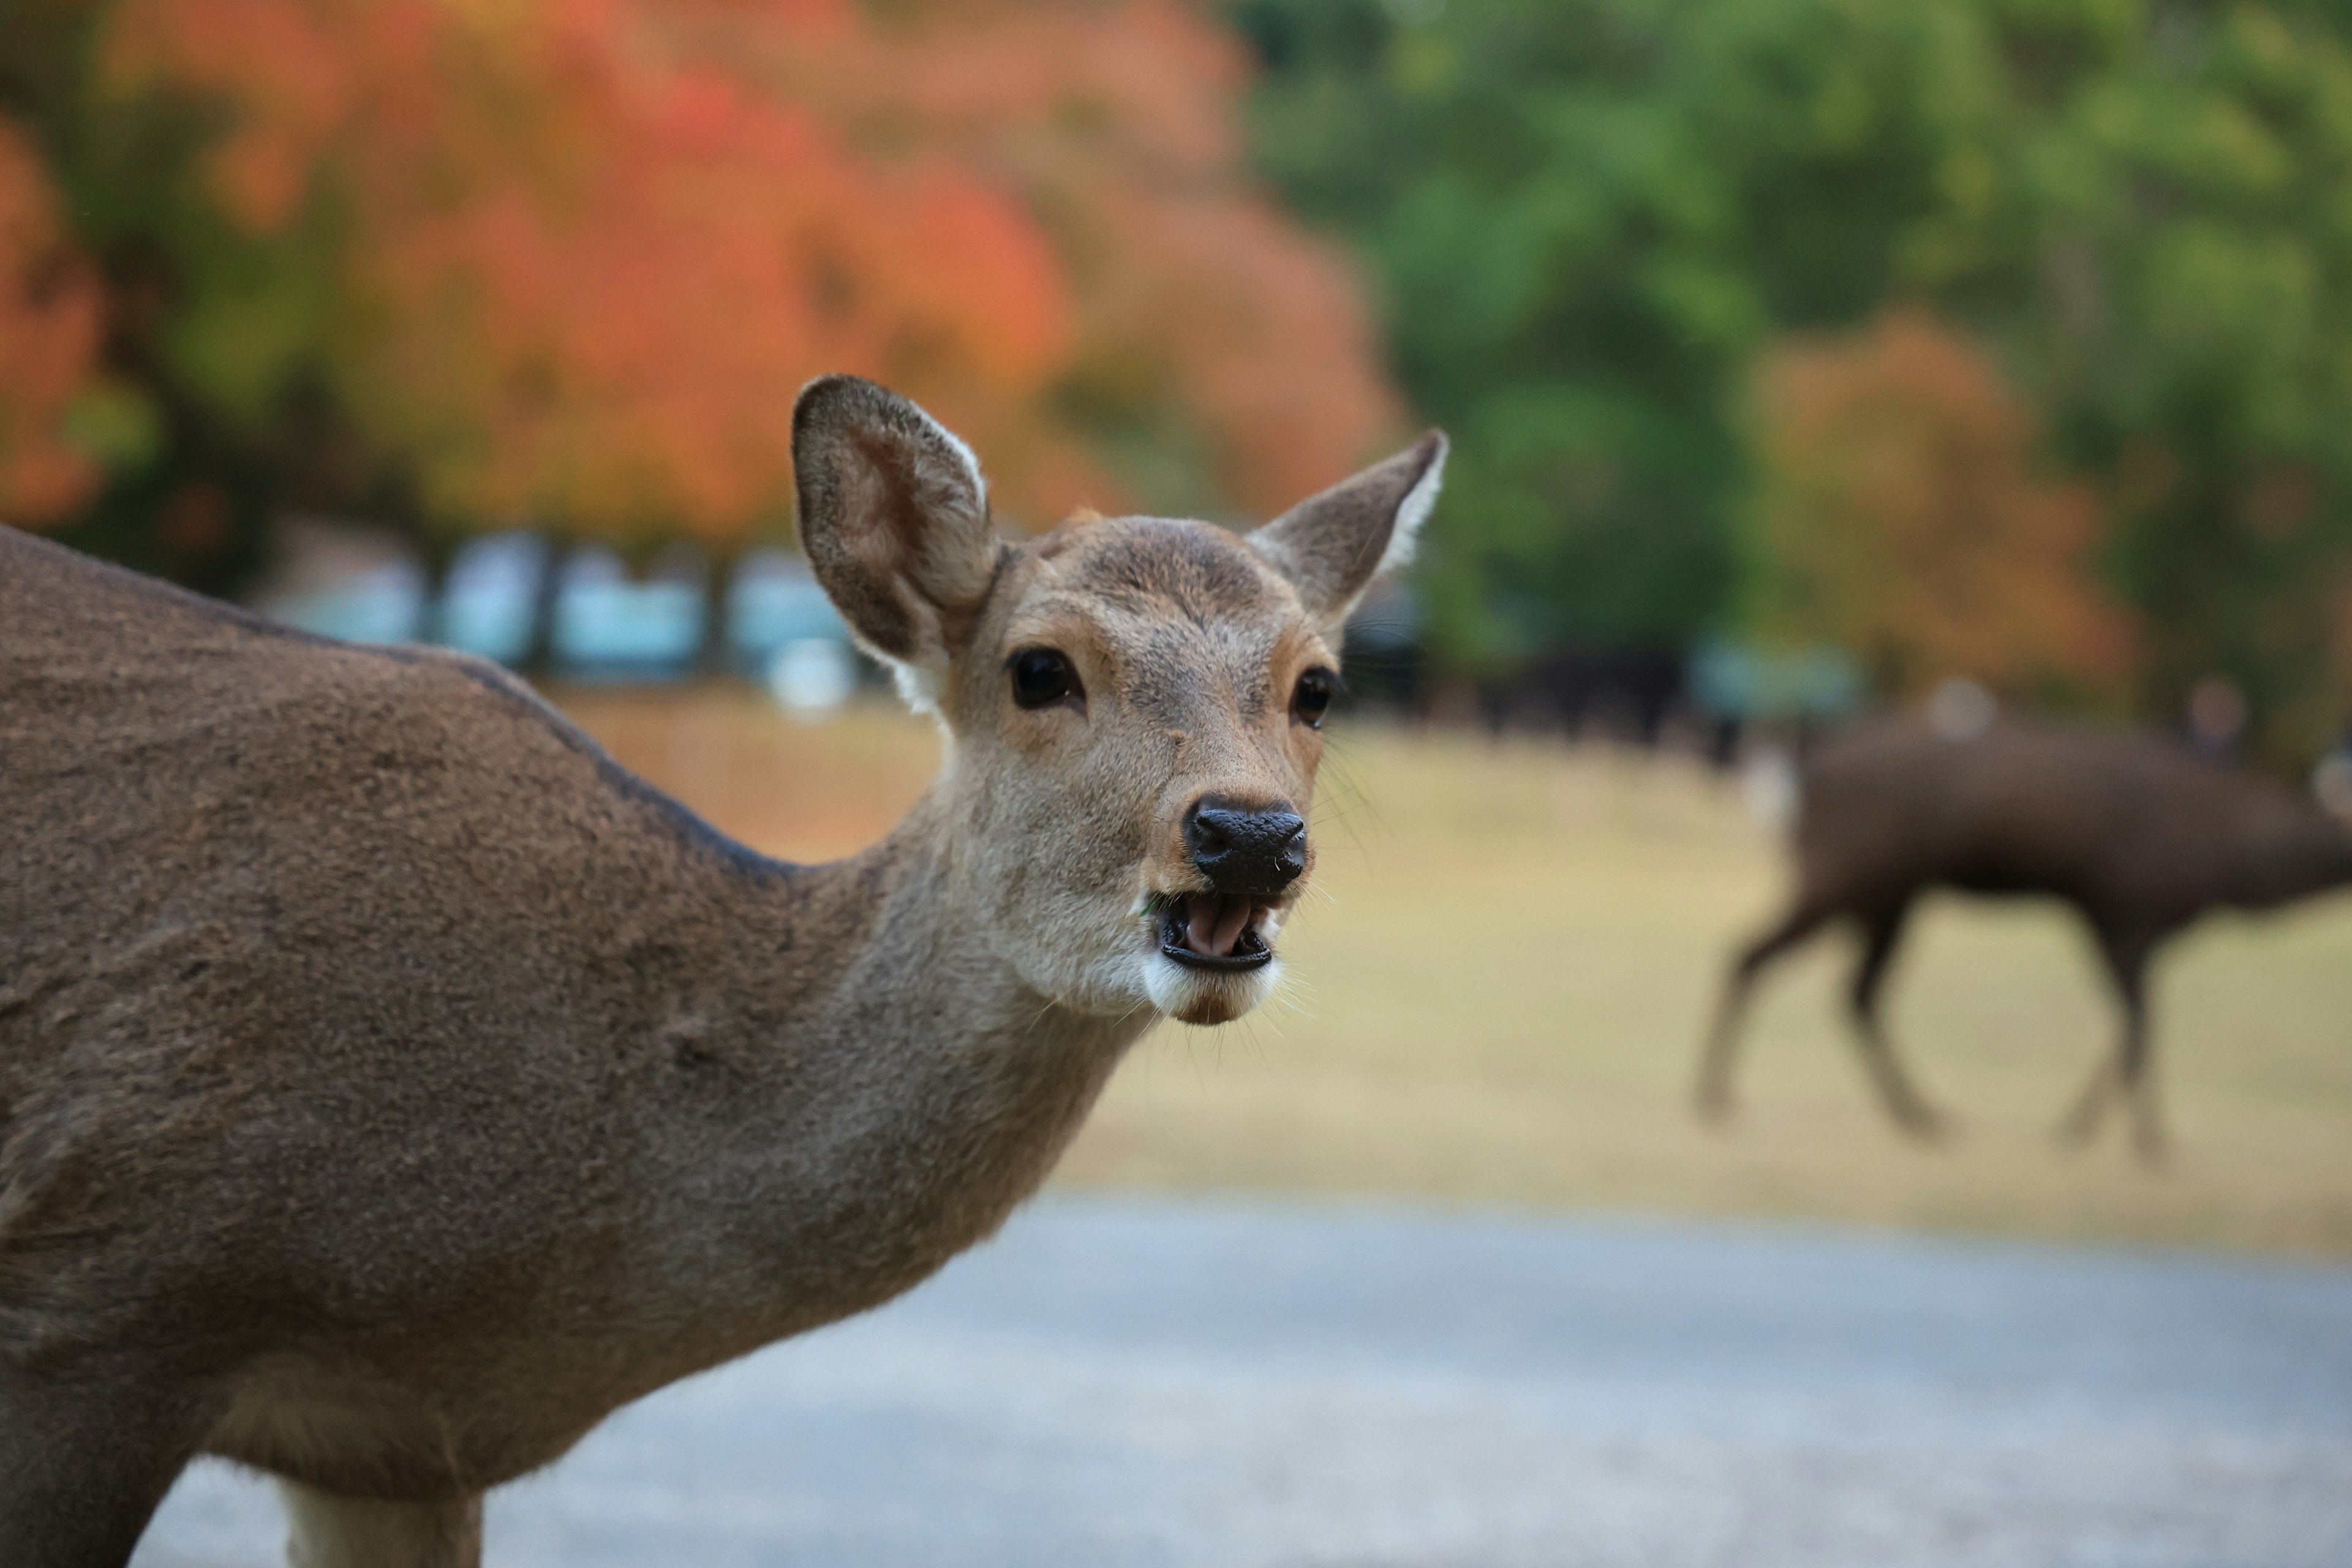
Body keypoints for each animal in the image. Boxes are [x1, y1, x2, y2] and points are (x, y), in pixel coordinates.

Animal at [1703, 705, 2352, 1161]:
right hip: (1850, 877)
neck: (2233, 866)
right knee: (1757, 956)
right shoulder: (2124, 911)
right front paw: (2142, 1143)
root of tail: (1800, 777)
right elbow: (2139, 1025)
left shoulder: (2119, 924)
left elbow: (2131, 1024)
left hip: (1890, 895)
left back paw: (1916, 1117)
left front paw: (2082, 1130)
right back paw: (1718, 1098)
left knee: (1853, 991)